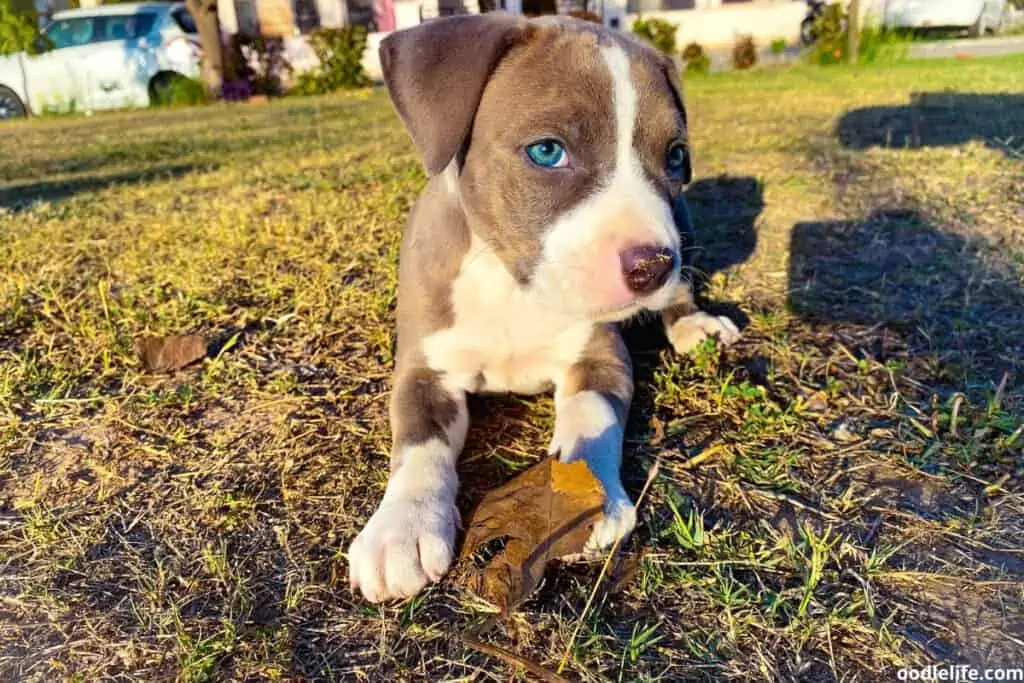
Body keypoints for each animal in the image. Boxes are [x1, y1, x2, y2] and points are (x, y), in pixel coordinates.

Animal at [348, 13, 741, 602]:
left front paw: (579, 500)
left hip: (684, 229)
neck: (513, 288)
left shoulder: (602, 357)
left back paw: (695, 323)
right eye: (547, 152)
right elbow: (420, 442)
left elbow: (591, 416)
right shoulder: (422, 371)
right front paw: (403, 526)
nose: (652, 265)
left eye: (675, 157)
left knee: (683, 292)